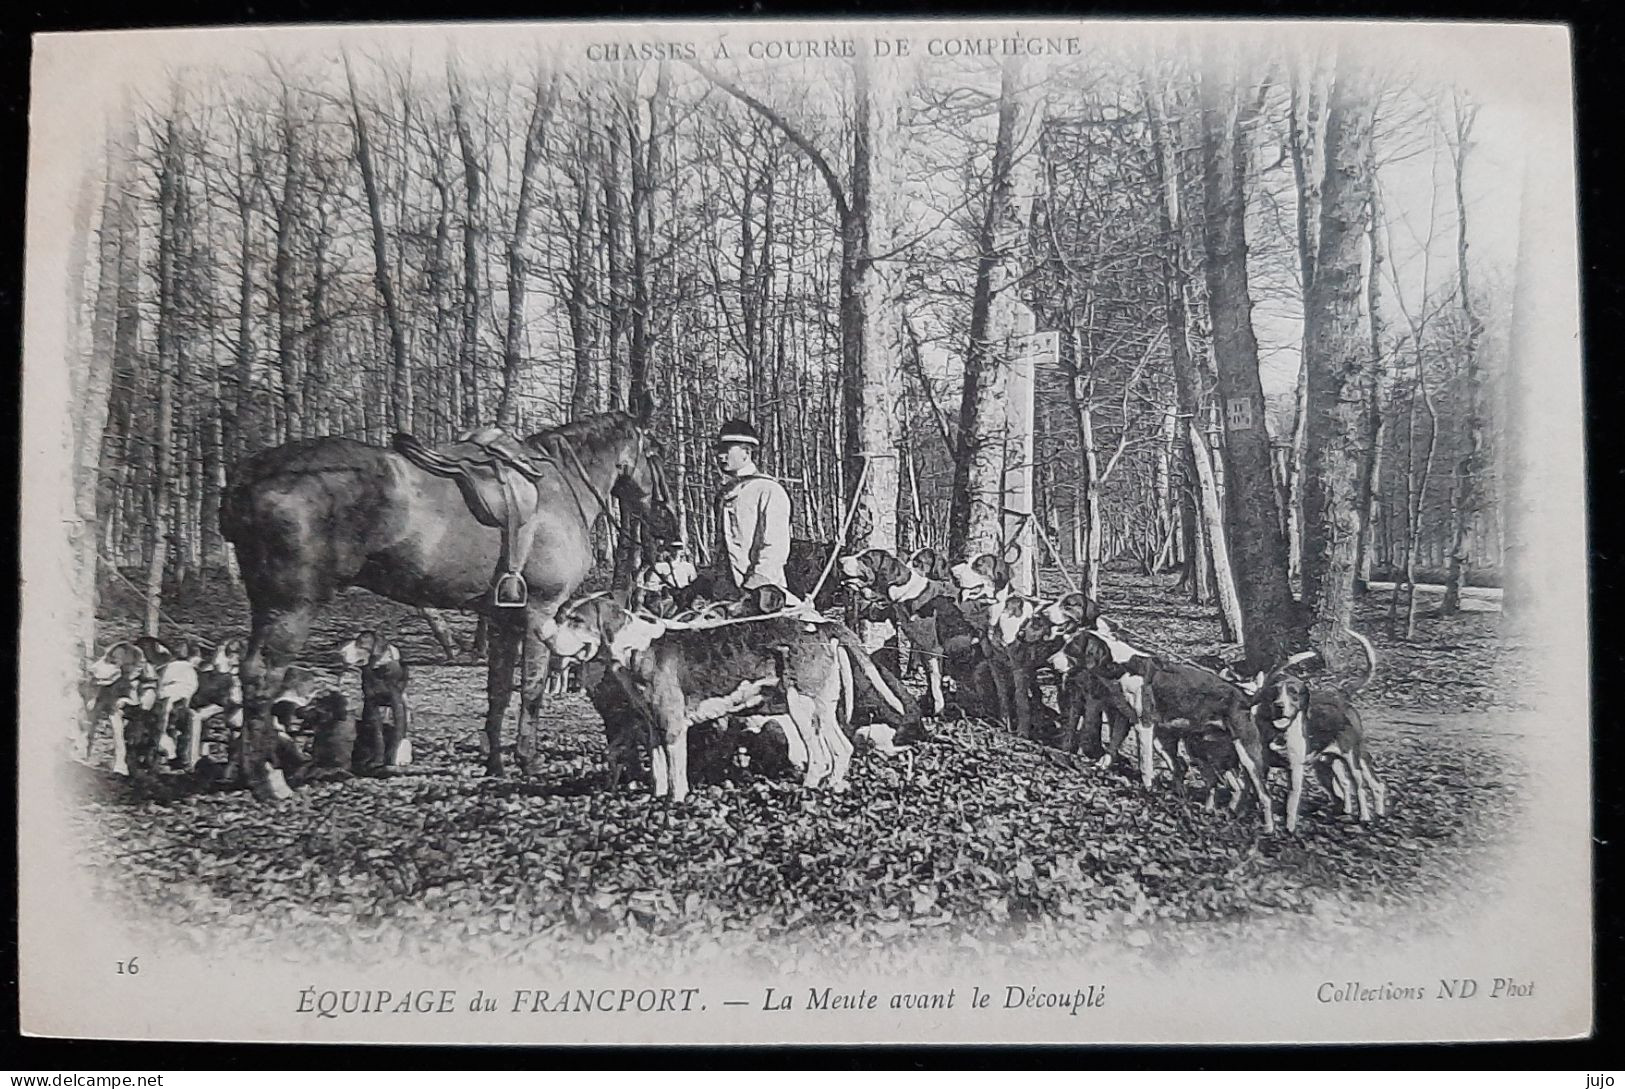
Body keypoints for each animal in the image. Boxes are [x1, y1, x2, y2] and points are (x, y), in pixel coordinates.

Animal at [219, 398, 676, 802]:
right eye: (655, 451)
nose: (668, 520)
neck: (559, 485)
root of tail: (251, 473)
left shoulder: (503, 618)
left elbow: (498, 691)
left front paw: (495, 762)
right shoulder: (540, 613)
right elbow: (531, 689)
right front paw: (527, 760)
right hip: (290, 607)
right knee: (261, 677)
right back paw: (267, 778)